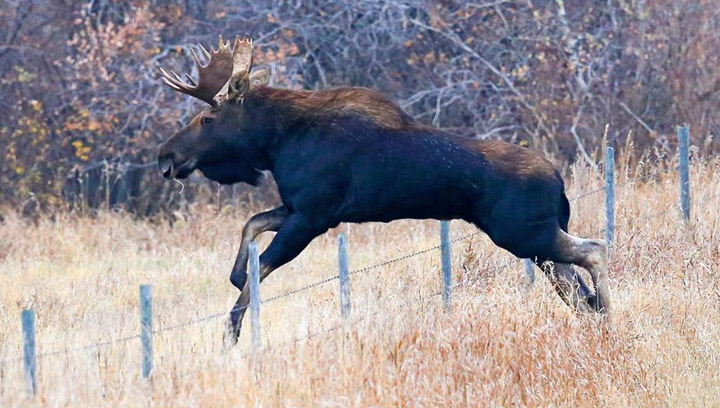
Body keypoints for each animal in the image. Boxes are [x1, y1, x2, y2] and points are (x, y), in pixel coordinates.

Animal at [157, 36, 611, 346]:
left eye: (208, 119)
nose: (166, 155)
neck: (274, 142)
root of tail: (558, 181)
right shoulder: (299, 207)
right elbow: (251, 228)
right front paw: (234, 276)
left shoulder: (313, 215)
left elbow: (261, 268)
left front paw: (232, 335)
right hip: (535, 243)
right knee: (575, 286)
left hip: (522, 233)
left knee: (594, 251)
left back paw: (609, 315)